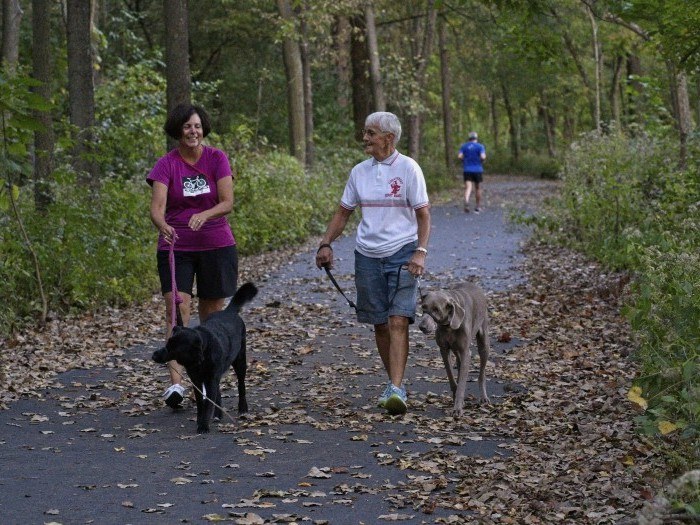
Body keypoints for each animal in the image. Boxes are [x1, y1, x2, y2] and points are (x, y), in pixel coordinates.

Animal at [152, 282, 258, 434]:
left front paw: (203, 426)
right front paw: (200, 420)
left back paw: (242, 408)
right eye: (167, 344)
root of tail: (229, 312)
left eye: (173, 348)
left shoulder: (210, 379)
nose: (154, 355)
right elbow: (201, 403)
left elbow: (208, 404)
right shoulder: (197, 380)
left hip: (239, 361)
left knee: (241, 385)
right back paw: (218, 414)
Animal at [422, 282, 492, 414]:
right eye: (423, 307)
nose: (422, 326)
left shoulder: (466, 352)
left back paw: (484, 397)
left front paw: (458, 408)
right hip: (456, 350)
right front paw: (456, 397)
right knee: (459, 365)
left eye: (436, 309)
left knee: (482, 373)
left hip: (484, 342)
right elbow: (451, 375)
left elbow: (462, 383)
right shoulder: (444, 350)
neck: (448, 326)